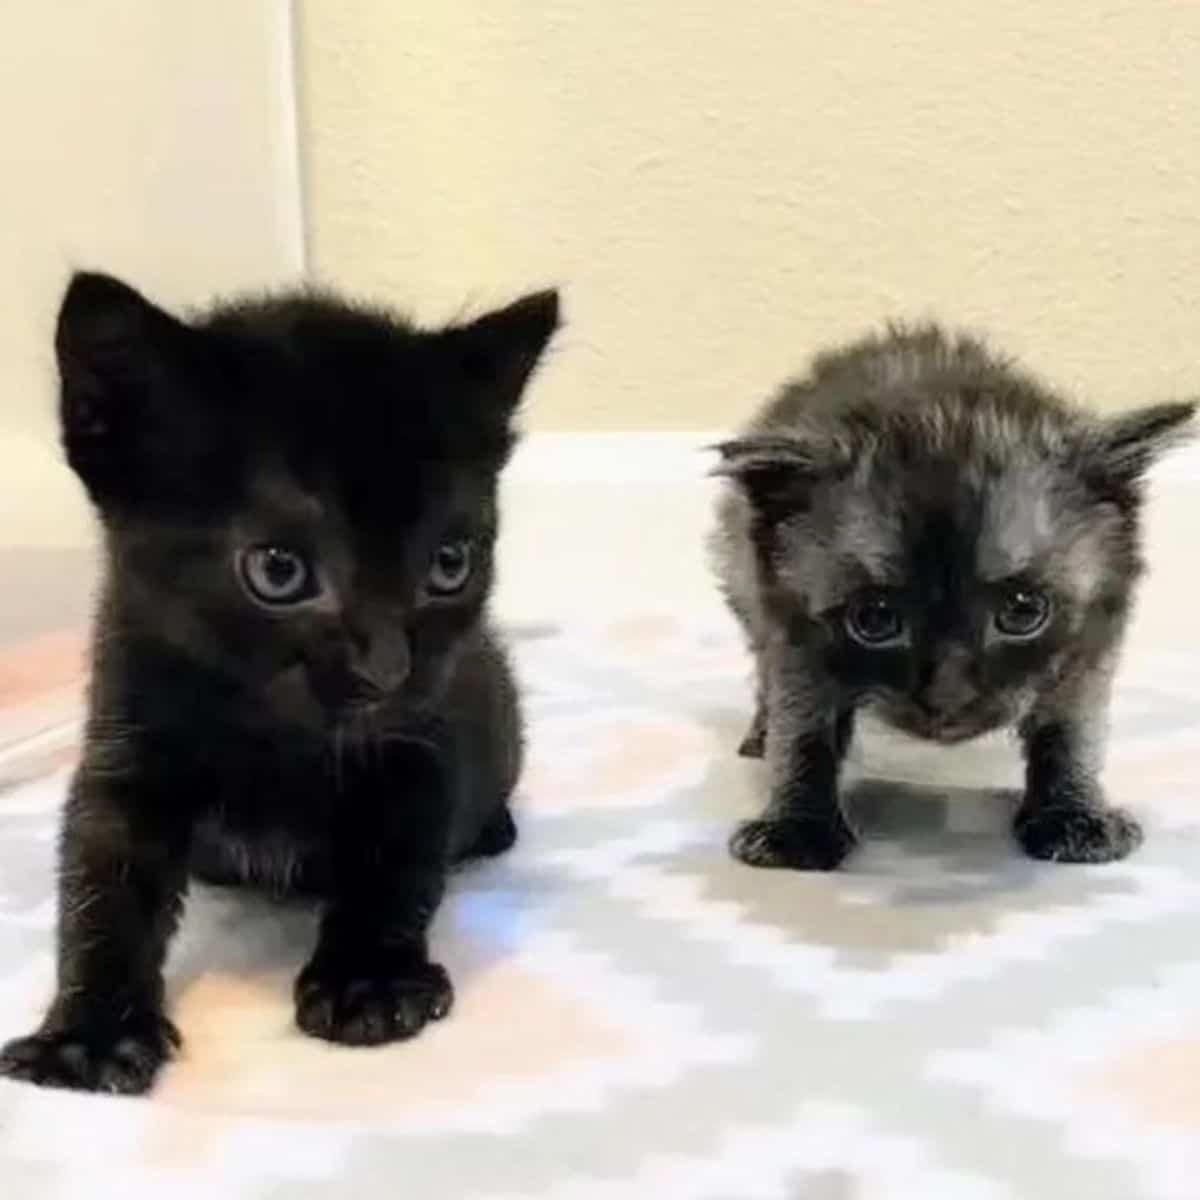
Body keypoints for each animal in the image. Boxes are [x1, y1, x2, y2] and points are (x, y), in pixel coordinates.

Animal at [0, 270, 556, 1089]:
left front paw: (368, 979)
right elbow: (103, 885)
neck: (273, 740)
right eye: (278, 571)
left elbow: (395, 866)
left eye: (450, 564)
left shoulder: (421, 748)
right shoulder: (126, 745)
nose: (388, 670)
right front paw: (88, 1034)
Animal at [710, 324, 1190, 873]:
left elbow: (1073, 728)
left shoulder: (1093, 642)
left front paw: (1072, 813)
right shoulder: (791, 633)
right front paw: (798, 827)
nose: (948, 697)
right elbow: (803, 728)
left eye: (1023, 611)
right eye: (874, 619)